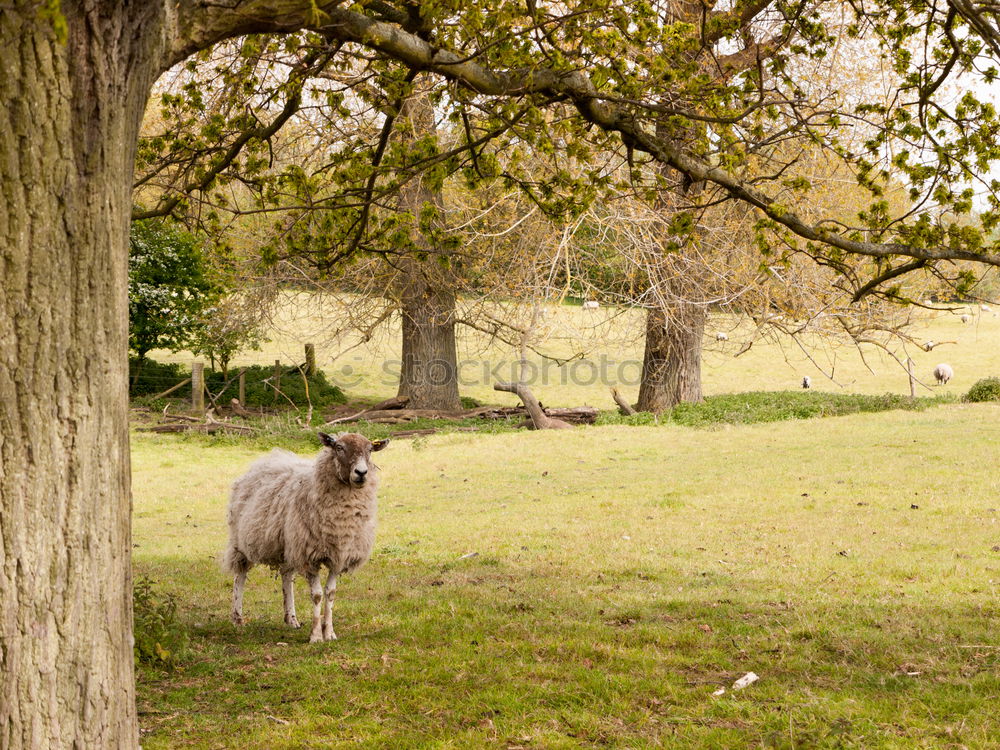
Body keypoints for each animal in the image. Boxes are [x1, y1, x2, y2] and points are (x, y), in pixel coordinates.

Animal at [225, 432, 388, 644]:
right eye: (339, 448)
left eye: (370, 449)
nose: (361, 472)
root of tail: (266, 460)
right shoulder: (310, 556)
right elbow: (317, 595)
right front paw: (316, 636)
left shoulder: (338, 554)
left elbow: (330, 593)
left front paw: (330, 633)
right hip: (241, 541)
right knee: (240, 575)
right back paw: (237, 618)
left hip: (289, 544)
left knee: (286, 576)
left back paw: (291, 619)